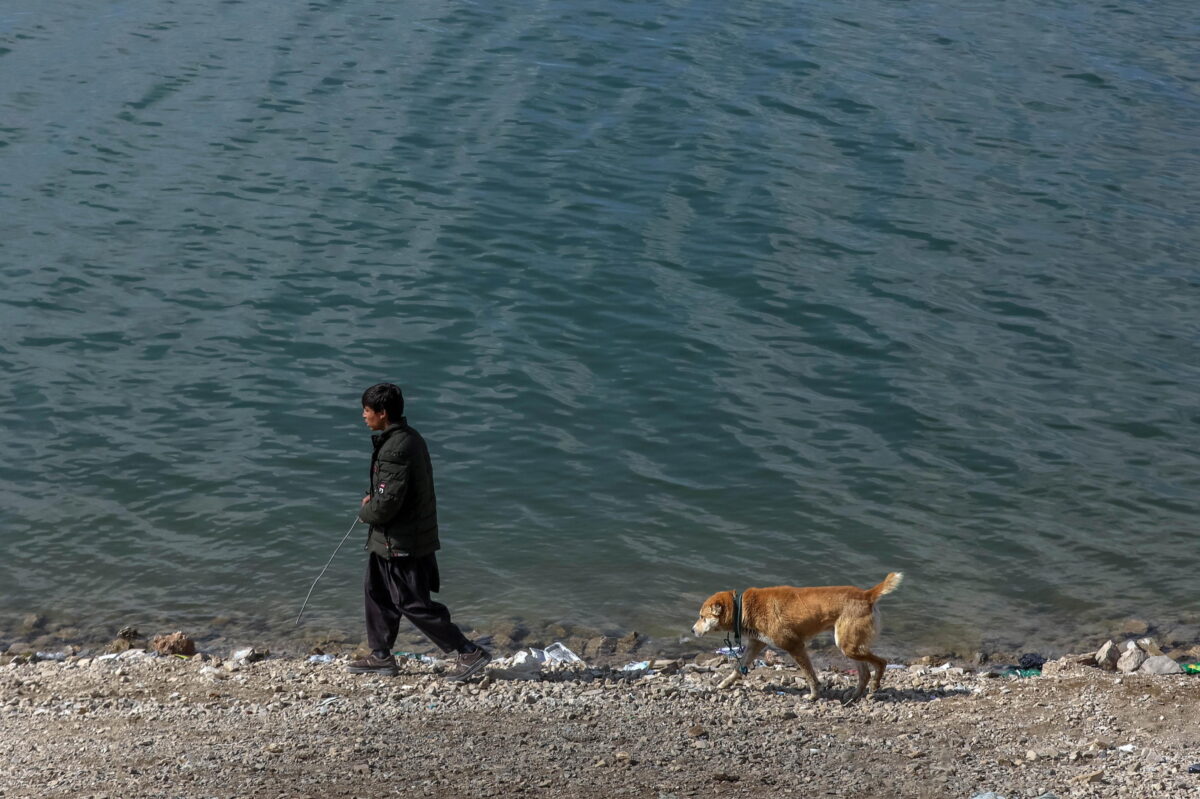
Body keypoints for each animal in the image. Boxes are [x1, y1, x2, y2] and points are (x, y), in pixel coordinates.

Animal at [696, 568, 902, 700]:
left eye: (701, 617)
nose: (692, 630)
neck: (742, 608)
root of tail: (867, 594)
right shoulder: (756, 644)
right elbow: (738, 669)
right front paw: (724, 684)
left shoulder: (794, 646)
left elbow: (809, 674)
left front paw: (814, 695)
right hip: (848, 646)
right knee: (864, 673)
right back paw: (855, 695)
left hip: (848, 646)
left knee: (881, 663)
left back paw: (875, 685)